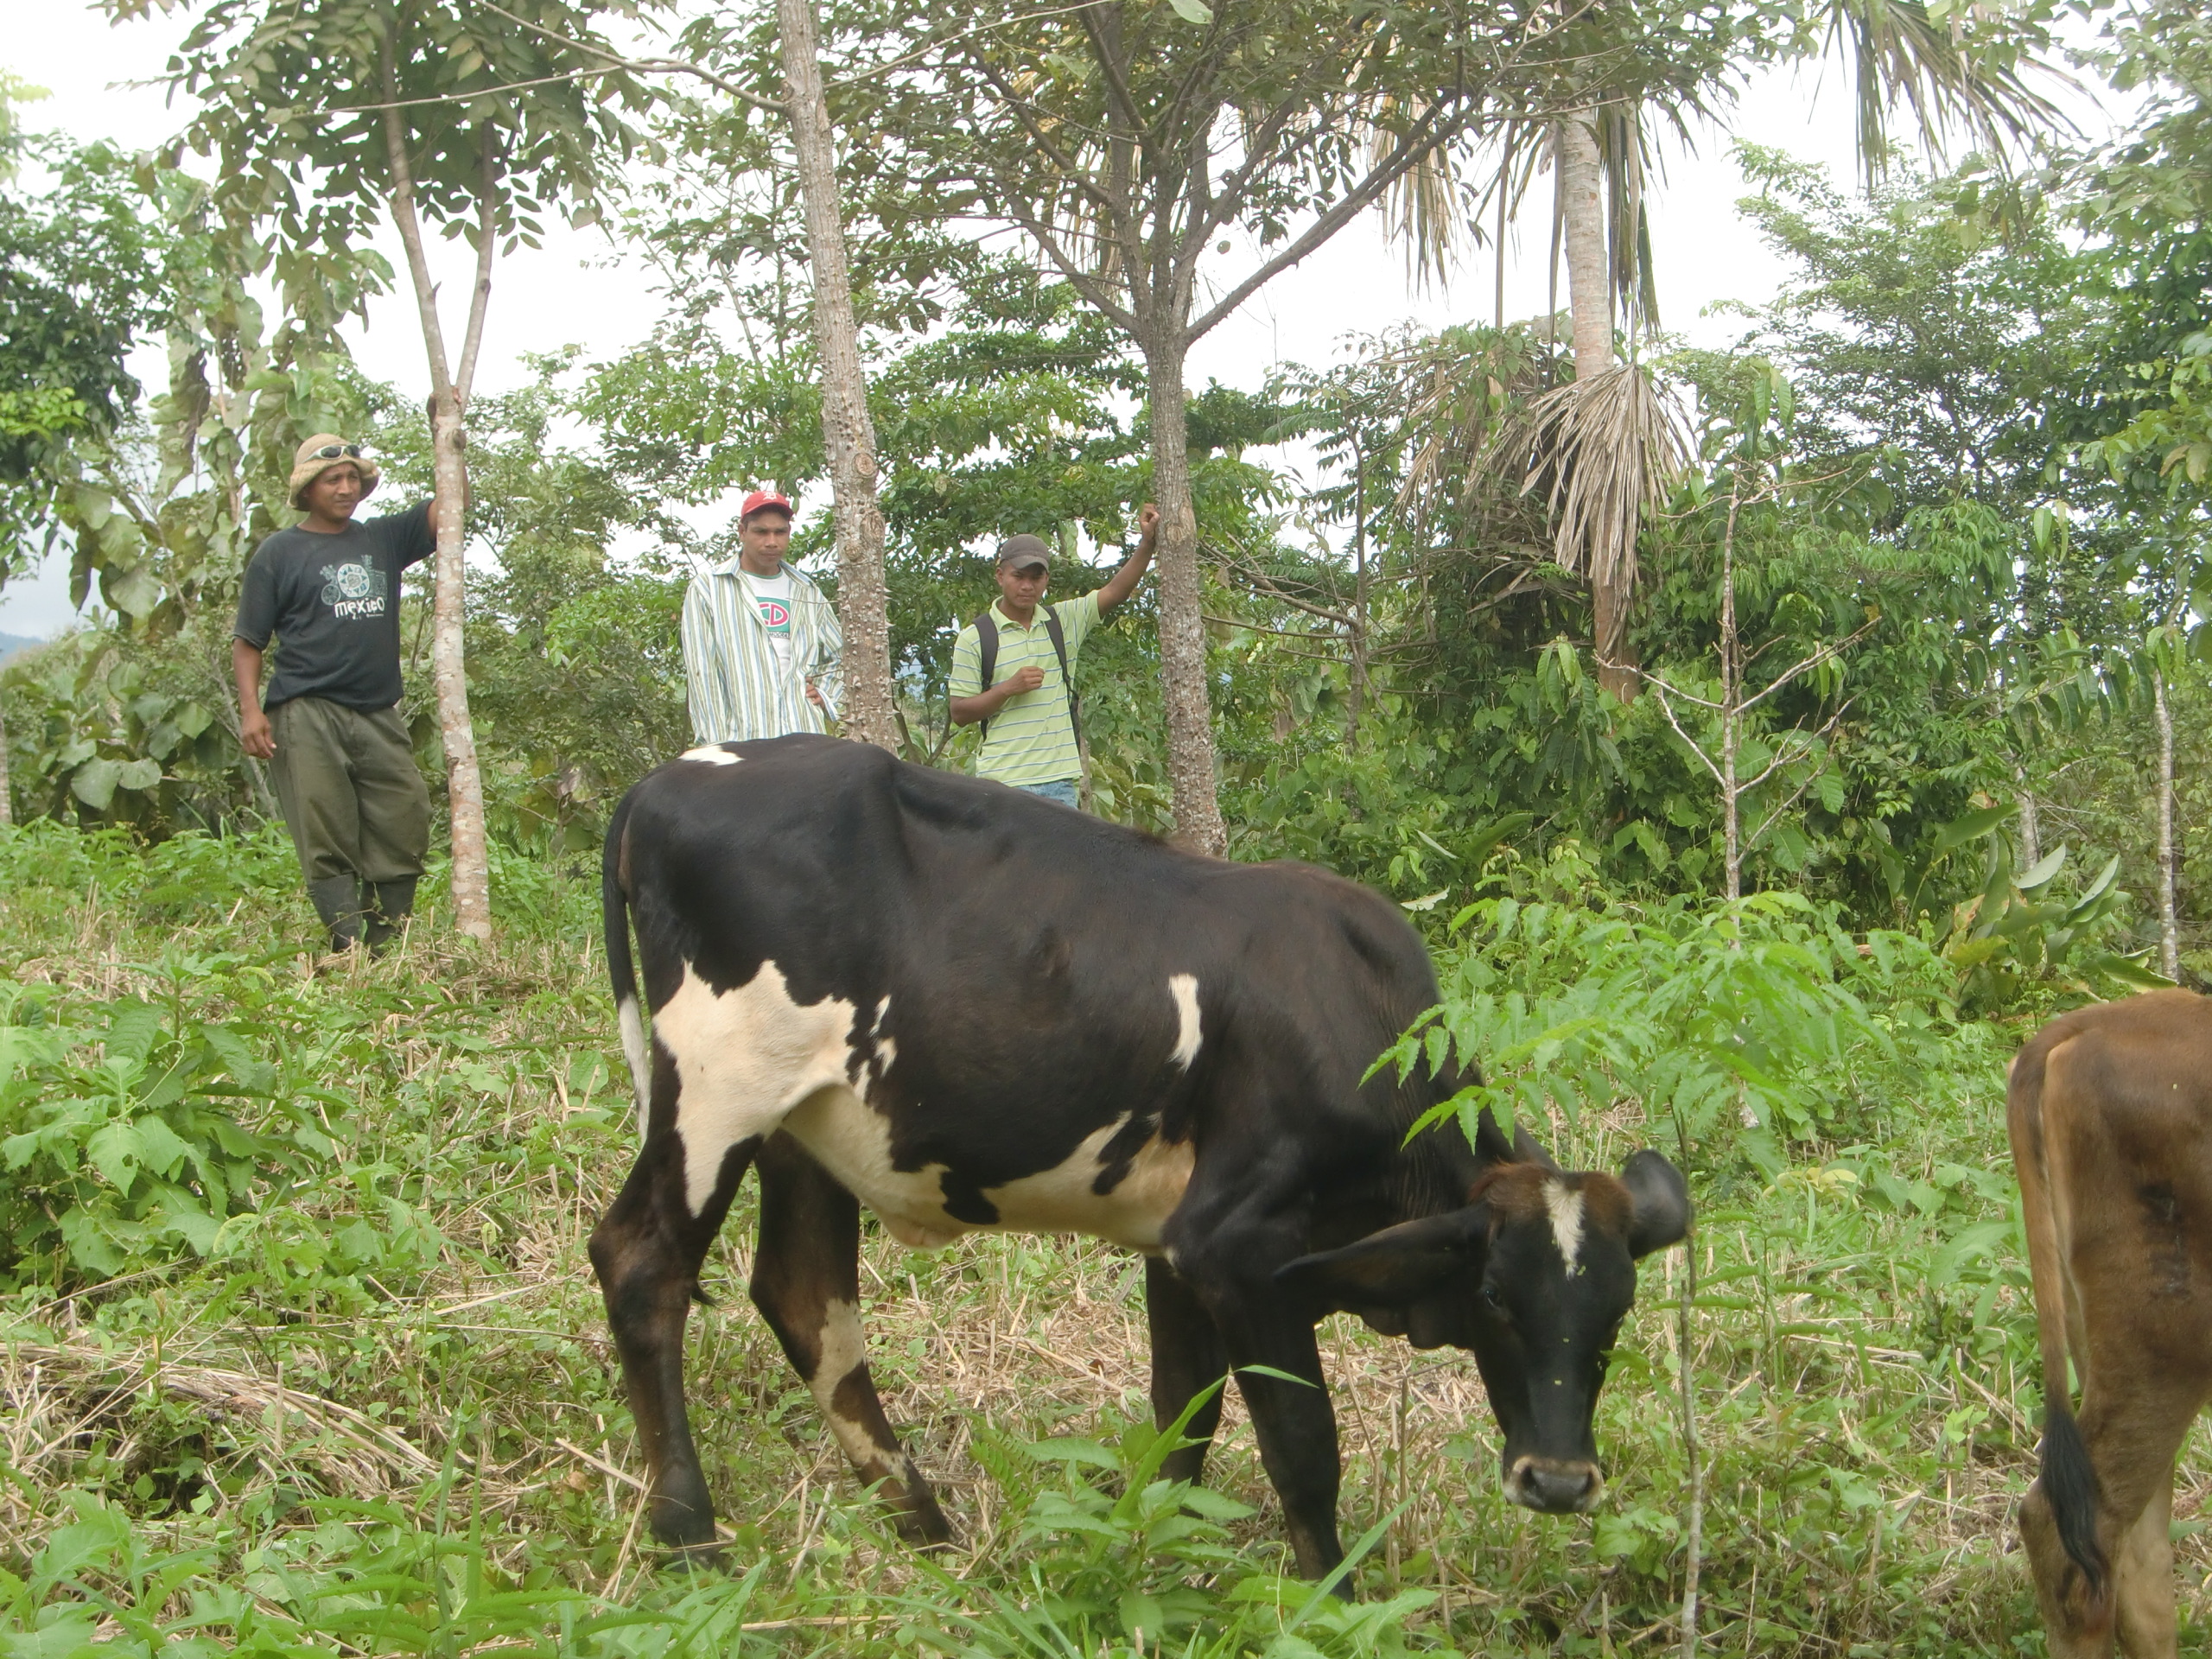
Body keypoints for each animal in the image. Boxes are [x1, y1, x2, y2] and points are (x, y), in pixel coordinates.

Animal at [588, 734, 1690, 1578]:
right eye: (1497, 1297)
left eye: (1616, 1313)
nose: (1559, 1480)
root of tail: (665, 780)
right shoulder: (1234, 1247)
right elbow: (1303, 1448)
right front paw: (1331, 1598)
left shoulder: (1175, 1250)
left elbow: (1181, 1423)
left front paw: (1145, 1553)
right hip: (714, 1098)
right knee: (642, 1264)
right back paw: (687, 1533)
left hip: (803, 1130)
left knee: (806, 1300)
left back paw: (924, 1523)